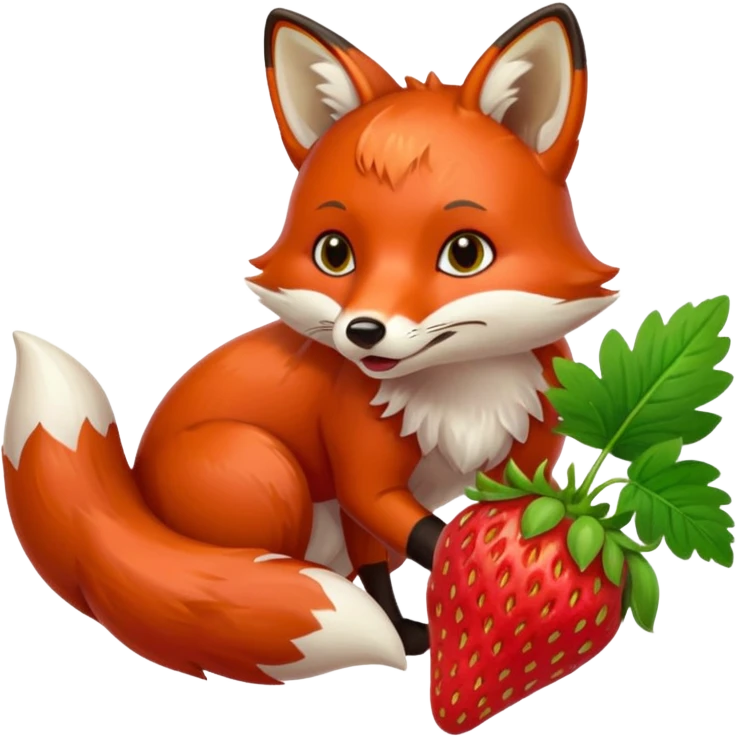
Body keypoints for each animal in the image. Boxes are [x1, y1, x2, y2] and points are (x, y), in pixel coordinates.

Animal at [2, 4, 619, 686]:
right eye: (334, 253)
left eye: (465, 253)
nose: (363, 332)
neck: (463, 392)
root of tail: (128, 505)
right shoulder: (362, 470)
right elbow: (413, 538)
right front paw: (412, 624)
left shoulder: (525, 460)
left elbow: (488, 517)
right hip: (265, 471)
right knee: (232, 581)